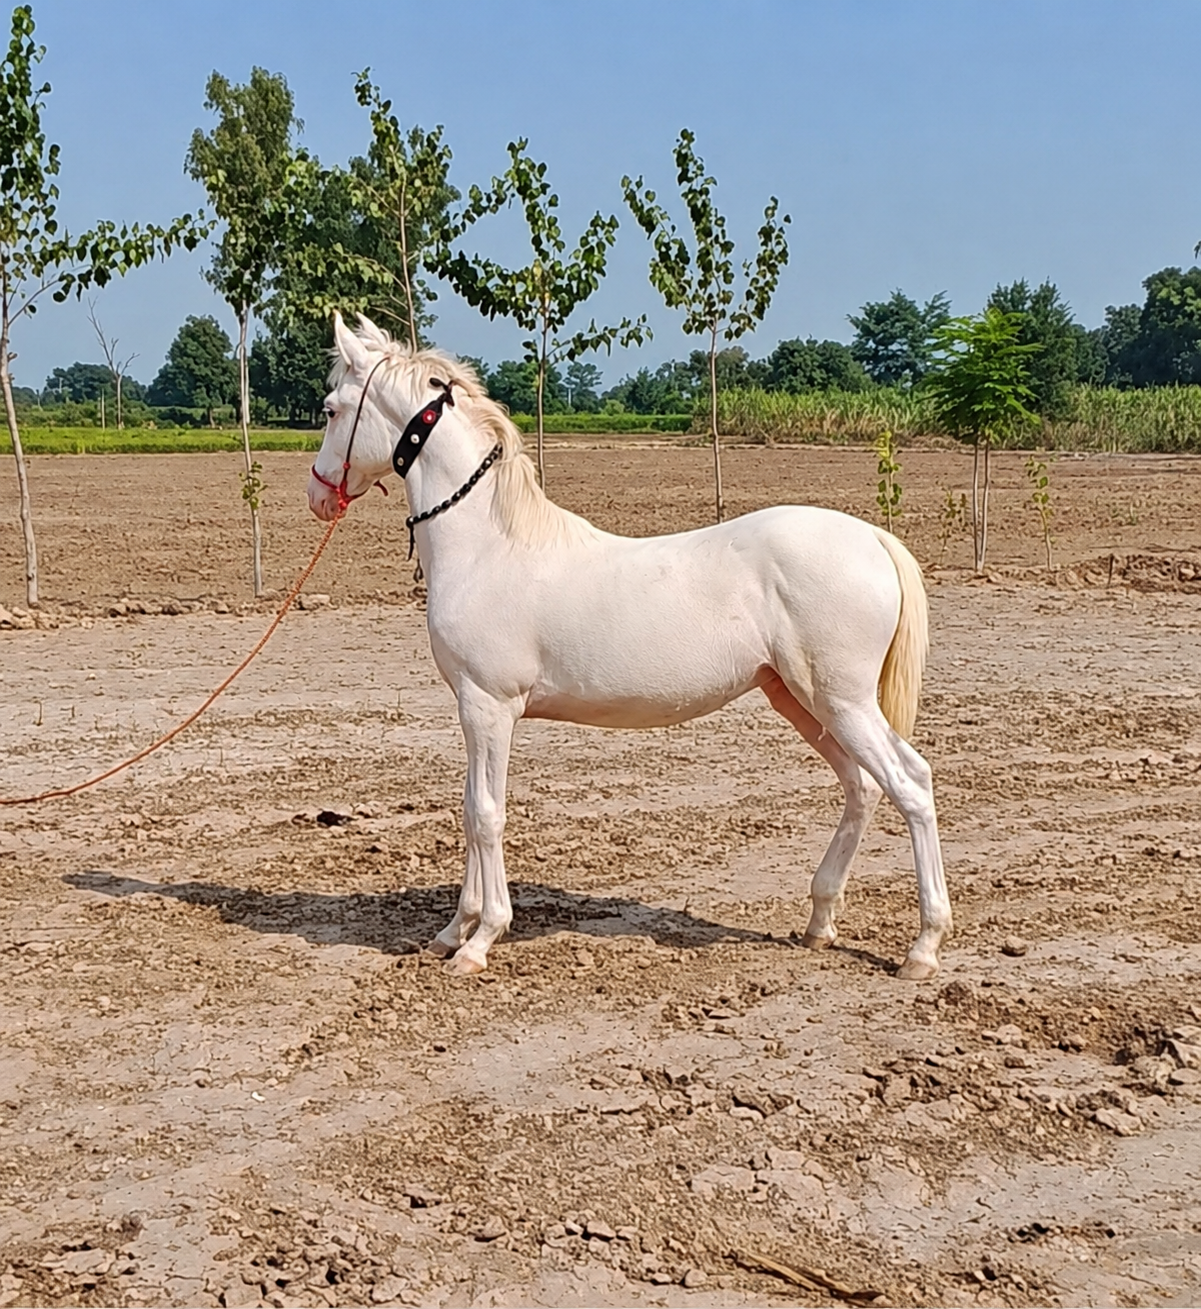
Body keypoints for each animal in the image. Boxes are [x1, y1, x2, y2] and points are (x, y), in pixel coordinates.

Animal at [308, 313, 951, 981]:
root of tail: (873, 538)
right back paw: (820, 923)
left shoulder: (489, 707)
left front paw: (481, 940)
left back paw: (923, 948)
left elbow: (486, 814)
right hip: (801, 701)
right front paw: (450, 932)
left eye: (330, 409)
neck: (489, 544)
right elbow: (468, 808)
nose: (319, 495)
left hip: (843, 702)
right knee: (862, 788)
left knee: (911, 785)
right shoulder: (473, 708)